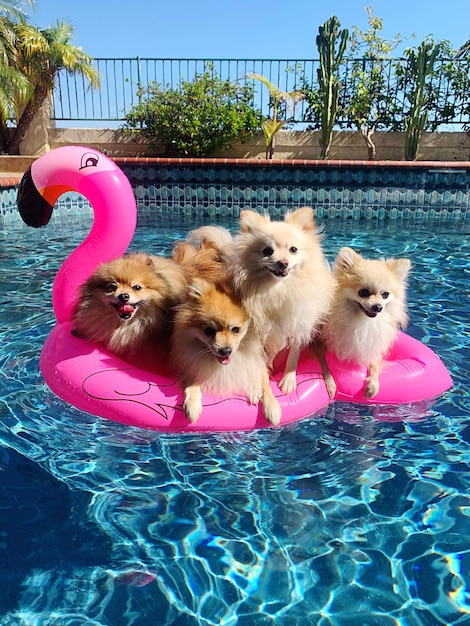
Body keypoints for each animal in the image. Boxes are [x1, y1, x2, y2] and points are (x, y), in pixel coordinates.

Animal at [168, 238, 280, 424]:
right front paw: (192, 403)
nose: (225, 350)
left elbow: (263, 379)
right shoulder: (189, 362)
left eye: (236, 329)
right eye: (208, 331)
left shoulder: (258, 357)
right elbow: (192, 380)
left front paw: (269, 403)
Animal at [231, 207, 334, 392]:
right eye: (267, 251)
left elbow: (293, 356)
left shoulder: (298, 325)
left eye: (293, 249)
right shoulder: (260, 332)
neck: (279, 289)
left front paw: (288, 380)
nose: (283, 262)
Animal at [320, 246, 412, 398]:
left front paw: (373, 386)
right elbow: (323, 363)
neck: (363, 321)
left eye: (385, 294)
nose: (378, 307)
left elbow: (375, 362)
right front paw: (331, 384)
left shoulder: (374, 345)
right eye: (363, 292)